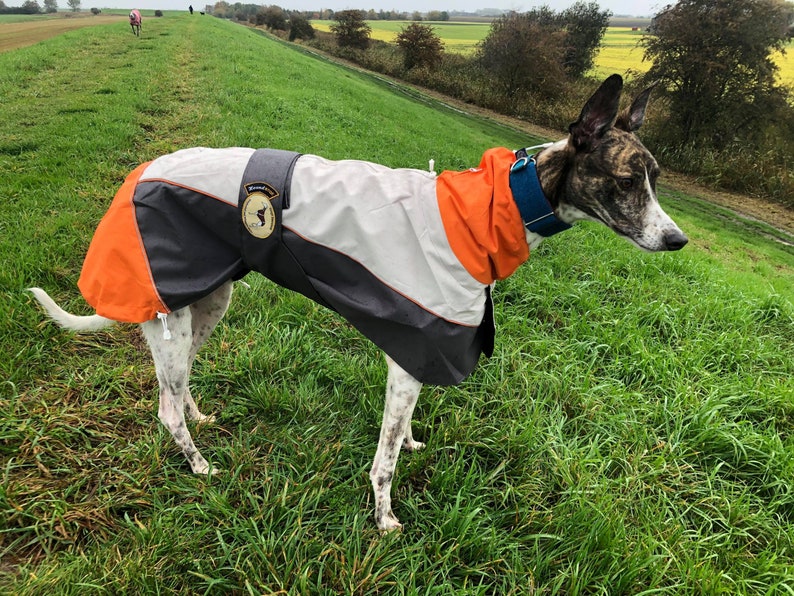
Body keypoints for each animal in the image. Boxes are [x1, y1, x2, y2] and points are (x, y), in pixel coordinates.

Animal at [32, 75, 688, 532]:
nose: (677, 240)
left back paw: (200, 421)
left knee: (184, 380)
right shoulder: (409, 356)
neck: (488, 210)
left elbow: (403, 435)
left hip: (208, 301)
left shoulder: (419, 351)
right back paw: (196, 463)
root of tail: (138, 175)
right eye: (627, 181)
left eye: (655, 179)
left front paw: (414, 444)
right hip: (167, 313)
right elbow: (385, 460)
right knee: (165, 408)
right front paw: (384, 519)